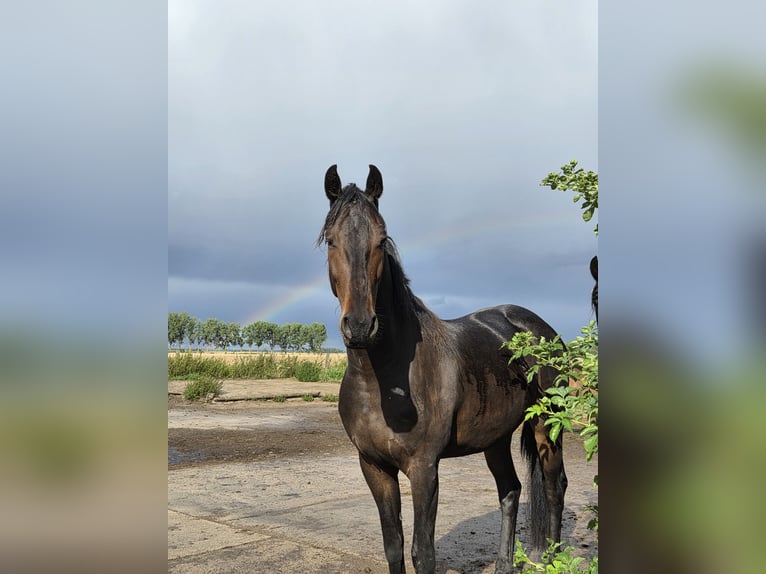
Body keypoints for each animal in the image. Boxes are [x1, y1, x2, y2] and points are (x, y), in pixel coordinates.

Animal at [318, 164, 567, 574]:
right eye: (330, 241)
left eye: (381, 240)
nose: (360, 326)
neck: (382, 383)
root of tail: (539, 327)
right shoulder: (374, 466)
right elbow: (393, 545)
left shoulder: (424, 468)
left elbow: (423, 551)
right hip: (495, 437)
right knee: (511, 490)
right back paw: (504, 564)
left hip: (547, 425)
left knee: (553, 486)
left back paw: (550, 558)